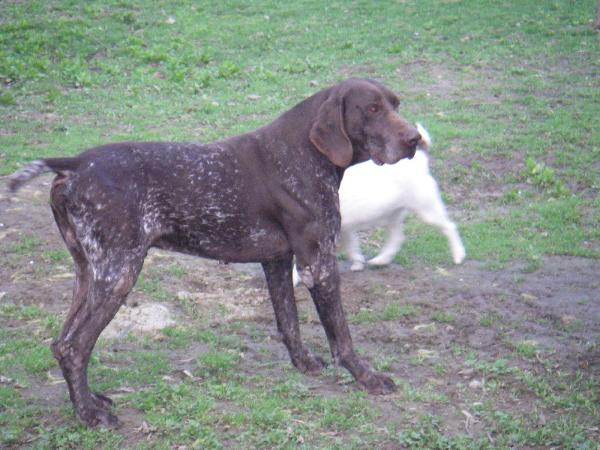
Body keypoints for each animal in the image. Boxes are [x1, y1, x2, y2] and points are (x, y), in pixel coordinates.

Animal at [10, 79, 422, 428]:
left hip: (89, 273)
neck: (304, 151)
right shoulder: (318, 264)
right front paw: (367, 377)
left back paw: (90, 400)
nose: (415, 139)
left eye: (396, 104)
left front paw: (303, 363)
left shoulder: (278, 261)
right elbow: (342, 337)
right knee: (75, 346)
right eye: (371, 109)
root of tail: (76, 163)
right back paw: (89, 415)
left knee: (62, 342)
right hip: (118, 275)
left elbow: (288, 322)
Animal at [292, 123, 466, 284]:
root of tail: (420, 158)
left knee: (449, 226)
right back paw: (381, 259)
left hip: (426, 207)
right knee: (397, 236)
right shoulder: (343, 228)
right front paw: (357, 262)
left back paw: (458, 255)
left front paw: (294, 278)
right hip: (393, 213)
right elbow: (351, 244)